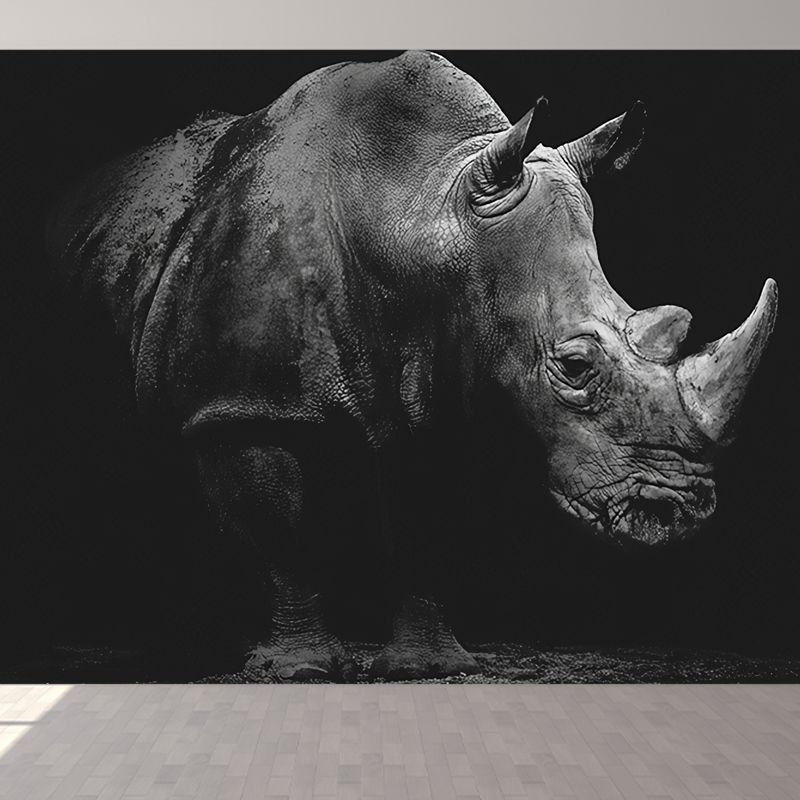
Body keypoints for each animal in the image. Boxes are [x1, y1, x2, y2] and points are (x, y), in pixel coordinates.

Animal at [48, 51, 778, 681]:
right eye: (574, 367)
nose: (677, 516)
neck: (420, 214)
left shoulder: (447, 385)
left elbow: (427, 525)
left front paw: (430, 667)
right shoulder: (242, 405)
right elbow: (279, 532)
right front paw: (300, 671)